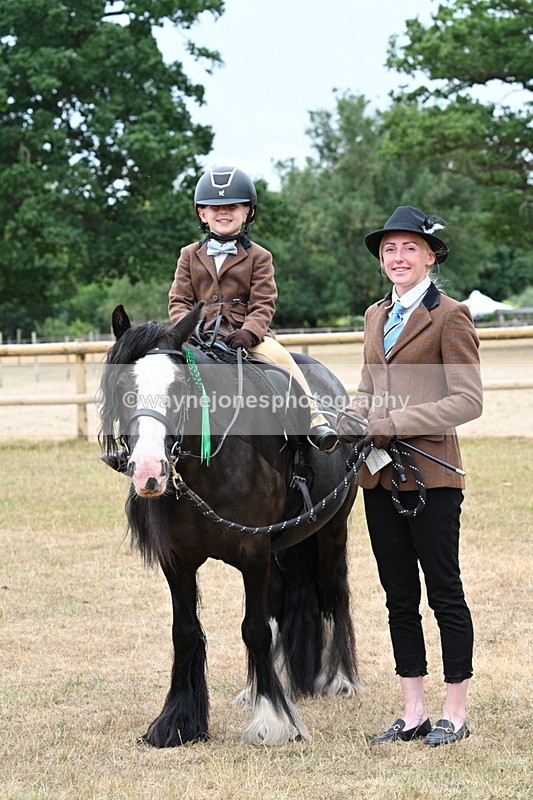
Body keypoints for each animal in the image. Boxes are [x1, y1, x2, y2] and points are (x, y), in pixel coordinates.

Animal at [98, 302, 358, 747]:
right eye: (122, 387)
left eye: (178, 389)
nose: (149, 471)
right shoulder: (178, 560)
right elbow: (185, 630)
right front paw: (178, 722)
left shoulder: (253, 553)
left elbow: (254, 628)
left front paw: (272, 722)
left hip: (331, 529)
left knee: (332, 591)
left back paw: (338, 678)